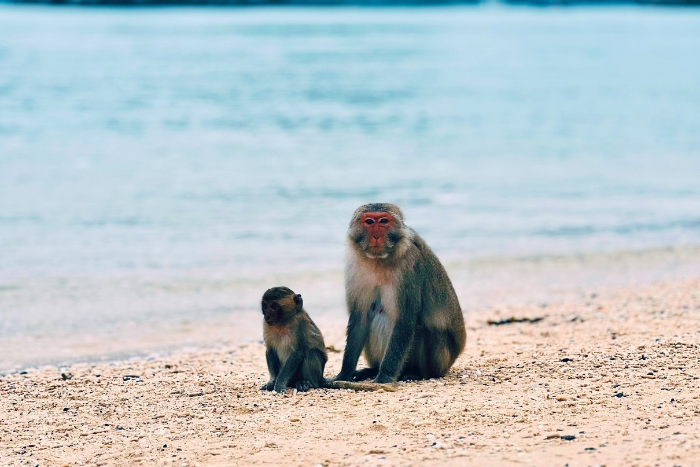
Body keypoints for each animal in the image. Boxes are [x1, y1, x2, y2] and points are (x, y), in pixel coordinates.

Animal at [261, 286, 399, 393]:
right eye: (265, 306)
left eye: (274, 306)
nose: (266, 315)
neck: (283, 323)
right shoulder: (266, 325)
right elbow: (270, 350)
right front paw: (273, 381)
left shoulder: (299, 324)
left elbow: (297, 353)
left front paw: (279, 384)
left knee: (311, 353)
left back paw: (307, 383)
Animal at [333, 203, 467, 385]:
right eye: (369, 222)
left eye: (383, 221)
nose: (376, 236)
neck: (378, 260)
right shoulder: (355, 266)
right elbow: (360, 318)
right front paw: (344, 373)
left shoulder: (409, 265)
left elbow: (405, 320)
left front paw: (384, 377)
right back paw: (373, 369)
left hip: (440, 361)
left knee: (422, 327)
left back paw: (415, 372)